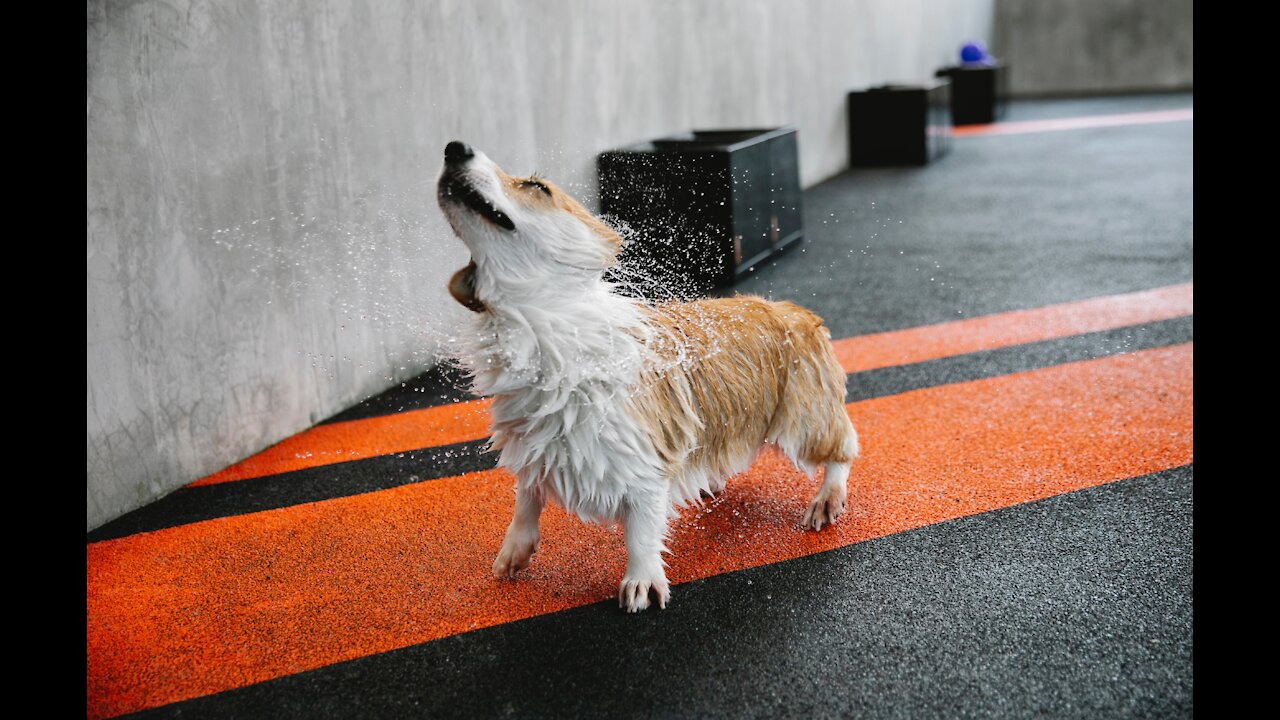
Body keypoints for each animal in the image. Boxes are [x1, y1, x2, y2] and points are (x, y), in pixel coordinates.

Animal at [437, 141, 860, 609]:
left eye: (536, 186)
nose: (454, 147)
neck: (541, 329)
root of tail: (791, 309)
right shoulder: (532, 444)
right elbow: (526, 497)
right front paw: (515, 550)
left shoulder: (647, 458)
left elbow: (641, 528)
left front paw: (641, 580)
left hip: (804, 424)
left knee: (844, 447)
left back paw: (827, 498)